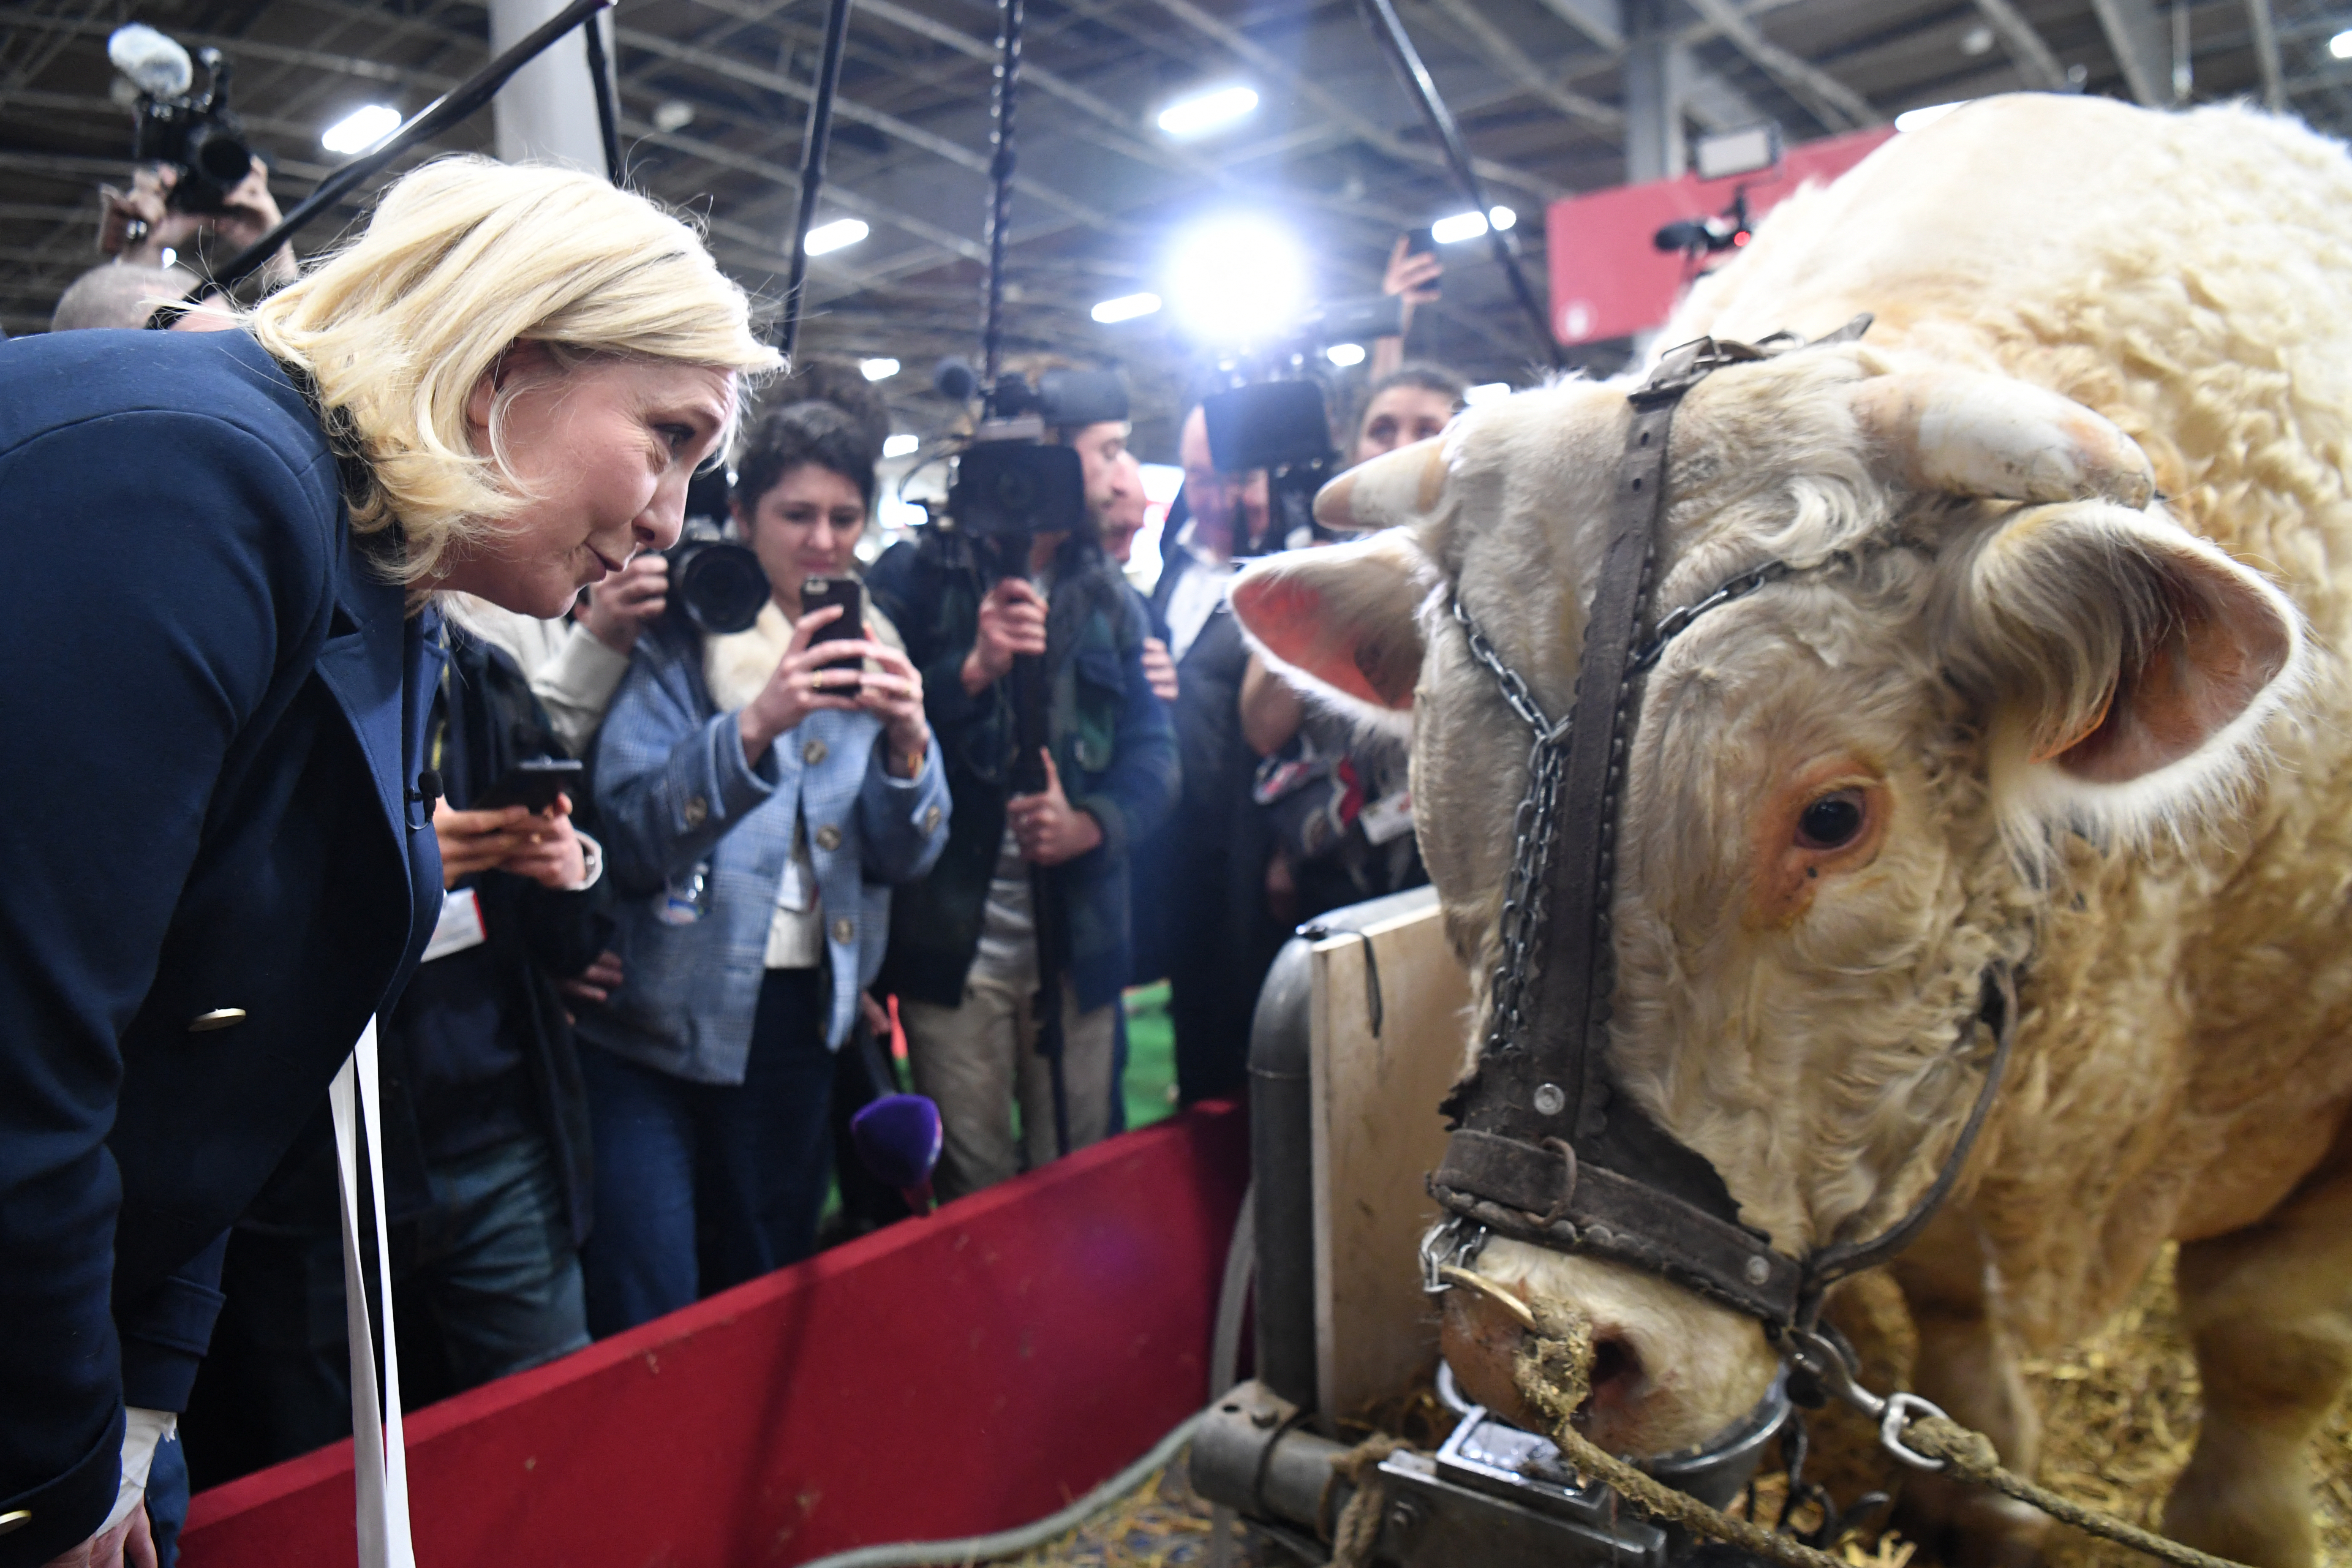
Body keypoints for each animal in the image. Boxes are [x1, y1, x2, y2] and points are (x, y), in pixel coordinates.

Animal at [1232, 92, 2352, 1561]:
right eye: (1433, 816)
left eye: (1832, 816)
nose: (1519, 1338)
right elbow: (1955, 1301)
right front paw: (1972, 1488)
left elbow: (2275, 1340)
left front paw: (2246, 1525)